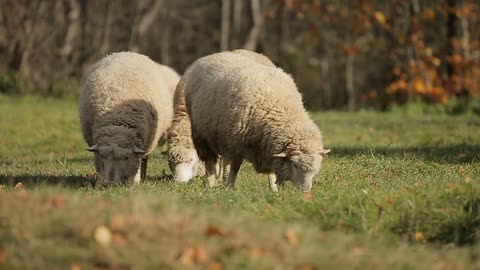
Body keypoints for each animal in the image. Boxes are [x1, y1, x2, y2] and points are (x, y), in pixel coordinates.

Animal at [79, 51, 174, 185]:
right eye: (102, 156)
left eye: (126, 157)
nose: (111, 183)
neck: (116, 119)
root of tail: (128, 52)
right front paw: (99, 183)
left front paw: (134, 181)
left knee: (144, 159)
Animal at [184, 49, 330, 191]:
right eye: (294, 164)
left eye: (316, 168)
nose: (305, 191)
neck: (279, 109)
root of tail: (215, 54)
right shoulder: (235, 145)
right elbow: (235, 168)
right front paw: (229, 187)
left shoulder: (265, 148)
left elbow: (271, 171)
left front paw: (274, 189)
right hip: (201, 134)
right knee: (210, 162)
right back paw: (210, 184)